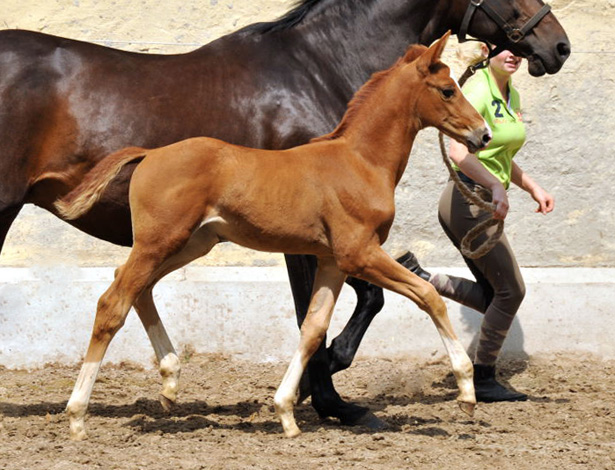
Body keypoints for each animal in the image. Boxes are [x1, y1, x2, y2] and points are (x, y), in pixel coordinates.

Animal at [56, 31, 490, 438]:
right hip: (159, 242)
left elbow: (313, 329)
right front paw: (467, 392)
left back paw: (170, 382)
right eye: (448, 90)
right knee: (112, 302)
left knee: (137, 288)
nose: (483, 134)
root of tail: (149, 153)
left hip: (190, 244)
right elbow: (428, 295)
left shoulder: (332, 261)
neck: (360, 161)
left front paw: (285, 412)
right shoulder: (359, 253)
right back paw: (77, 417)